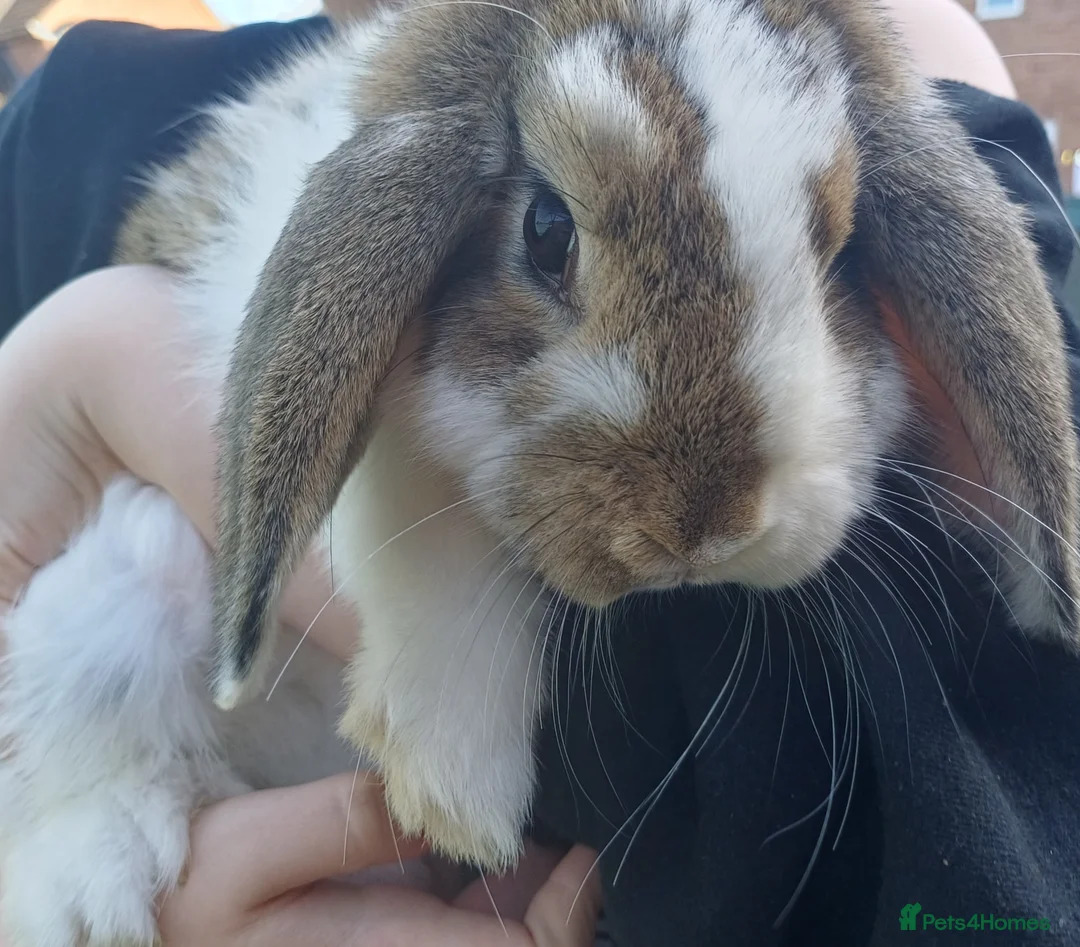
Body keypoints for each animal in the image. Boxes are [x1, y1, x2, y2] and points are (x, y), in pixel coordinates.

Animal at [3, 0, 1080, 944]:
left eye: (838, 251)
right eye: (546, 229)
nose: (705, 525)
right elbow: (415, 491)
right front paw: (452, 771)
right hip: (121, 581)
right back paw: (95, 884)